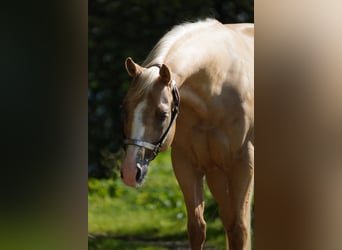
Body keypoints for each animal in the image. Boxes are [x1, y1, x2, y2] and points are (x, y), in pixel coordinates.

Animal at [121, 18, 254, 249]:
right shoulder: (186, 163)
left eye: (163, 114)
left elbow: (240, 231)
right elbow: (197, 228)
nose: (130, 172)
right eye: (125, 109)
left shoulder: (243, 163)